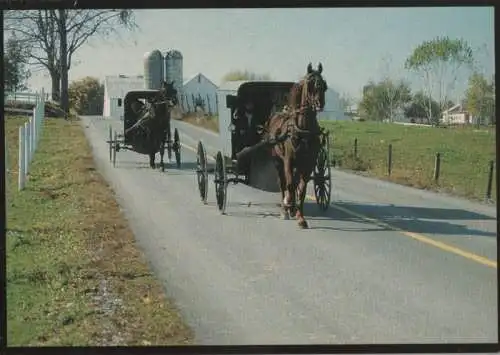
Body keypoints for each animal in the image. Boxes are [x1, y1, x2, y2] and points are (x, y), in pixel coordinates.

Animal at [262, 63, 328, 229]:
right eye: (310, 84)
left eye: (324, 85)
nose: (319, 103)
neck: (303, 130)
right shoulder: (288, 161)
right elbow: (290, 184)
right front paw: (288, 206)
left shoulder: (308, 164)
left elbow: (302, 189)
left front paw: (300, 217)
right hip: (278, 161)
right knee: (282, 183)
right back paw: (285, 207)